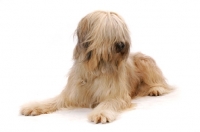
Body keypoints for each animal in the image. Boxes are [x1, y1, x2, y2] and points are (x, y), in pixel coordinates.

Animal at [20, 10, 173, 124]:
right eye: (108, 31)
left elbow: (109, 102)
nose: (122, 44)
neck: (96, 68)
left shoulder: (116, 94)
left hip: (145, 61)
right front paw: (32, 107)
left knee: (161, 83)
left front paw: (101, 113)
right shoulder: (72, 94)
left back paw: (156, 89)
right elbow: (53, 100)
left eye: (121, 31)